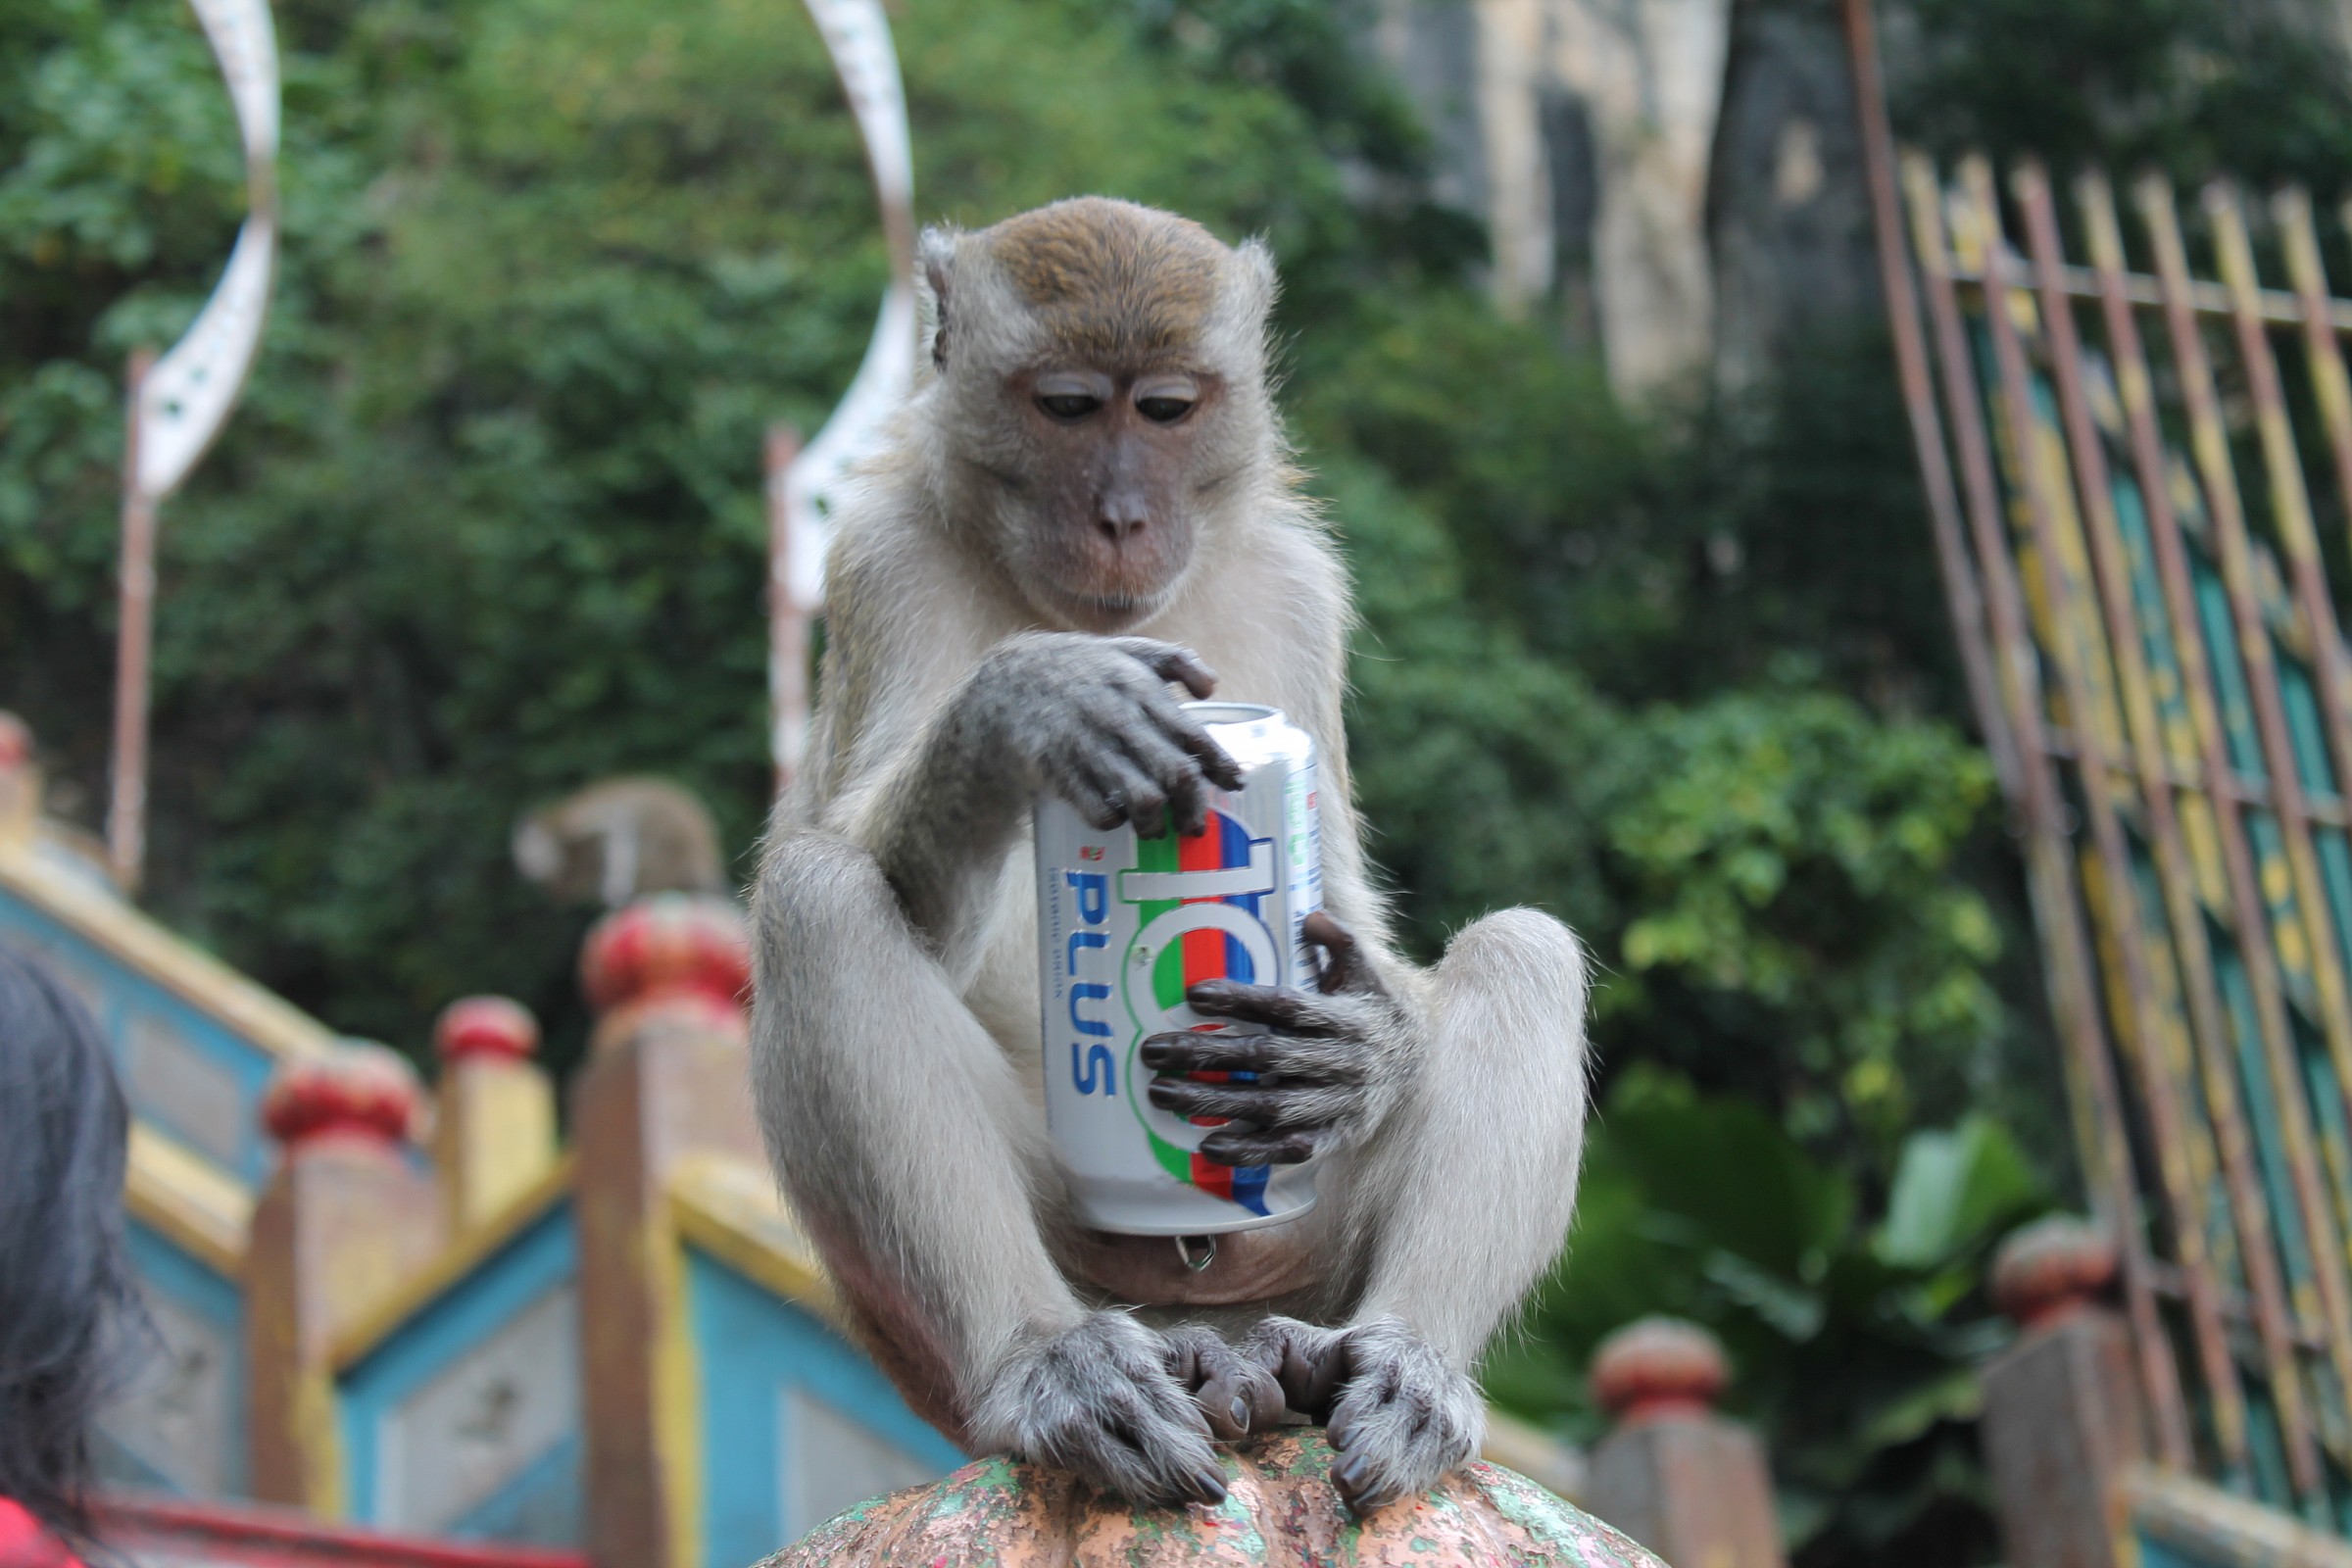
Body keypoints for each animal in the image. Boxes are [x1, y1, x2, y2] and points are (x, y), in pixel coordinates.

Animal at [751, 197, 1590, 1516]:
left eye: (1164, 409)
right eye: (1066, 407)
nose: (1121, 518)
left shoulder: (1305, 587)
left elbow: (1353, 918)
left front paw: (1371, 1040)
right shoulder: (879, 559)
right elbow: (842, 856)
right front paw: (1033, 702)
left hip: (1306, 1249)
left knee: (1526, 950)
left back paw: (1383, 1366)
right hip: (1009, 1288)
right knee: (818, 905)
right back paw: (1069, 1369)